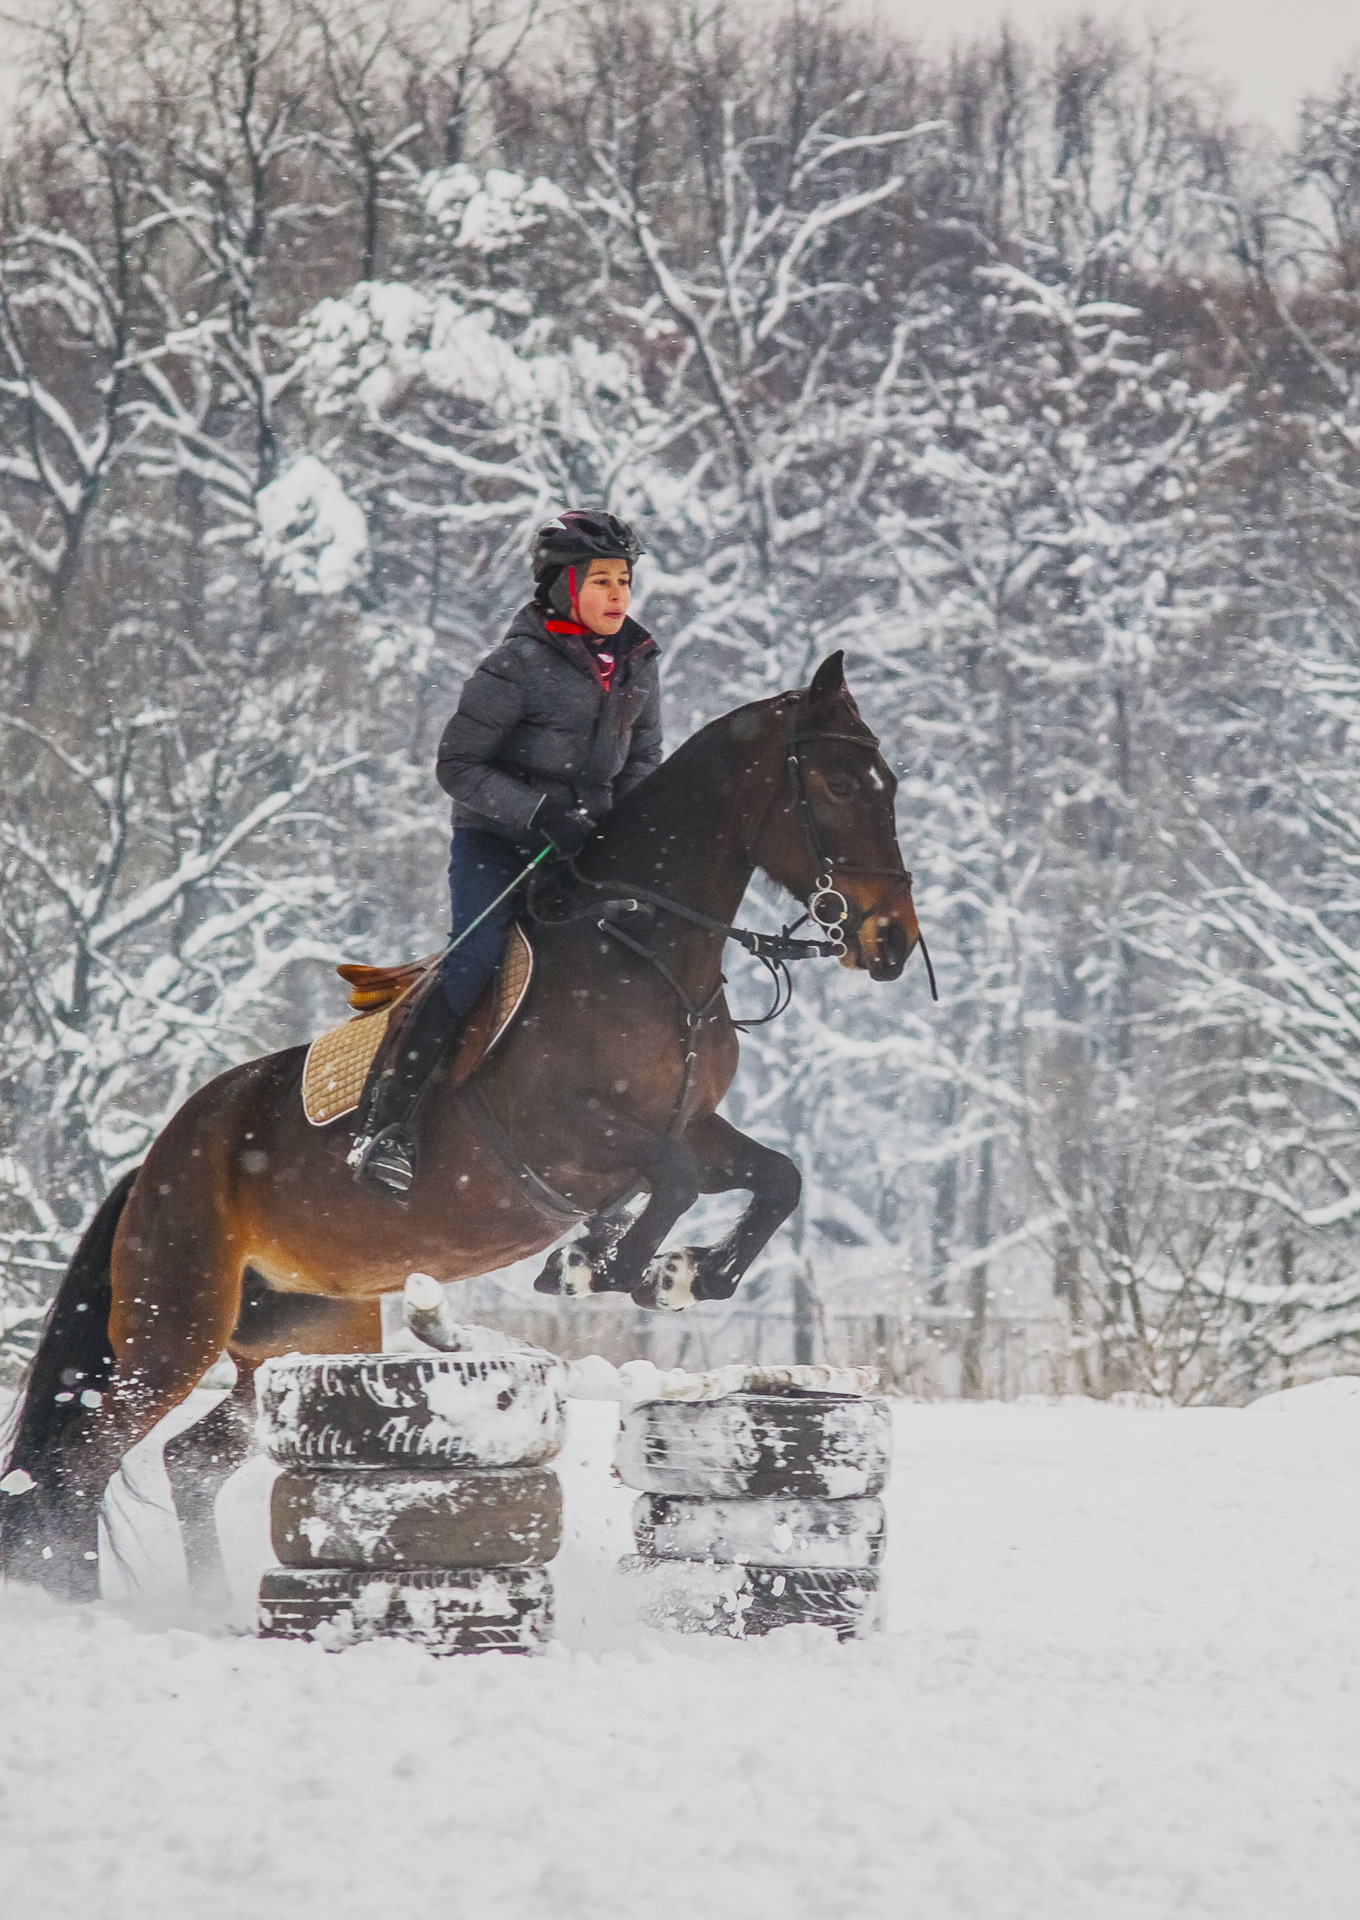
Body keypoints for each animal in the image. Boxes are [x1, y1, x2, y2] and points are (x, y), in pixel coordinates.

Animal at [0, 652, 925, 1597]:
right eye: (839, 783)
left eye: (887, 784)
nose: (891, 942)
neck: (645, 950)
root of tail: (154, 1161)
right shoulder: (565, 1130)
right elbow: (673, 1178)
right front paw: (605, 1267)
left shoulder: (690, 1122)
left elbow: (773, 1177)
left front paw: (684, 1274)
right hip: (172, 1331)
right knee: (81, 1465)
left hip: (298, 1337)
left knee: (187, 1460)